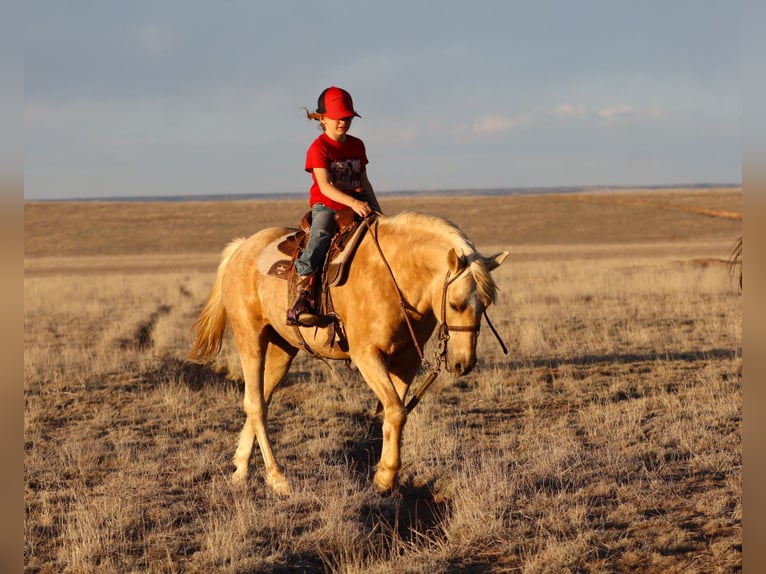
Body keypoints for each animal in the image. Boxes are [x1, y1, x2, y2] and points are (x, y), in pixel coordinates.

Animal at [189, 211, 509, 495]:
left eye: (486, 303)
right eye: (456, 304)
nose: (463, 363)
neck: (395, 277)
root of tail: (242, 248)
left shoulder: (406, 360)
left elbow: (395, 413)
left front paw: (385, 477)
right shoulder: (367, 356)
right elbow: (395, 410)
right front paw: (385, 478)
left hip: (283, 347)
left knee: (261, 400)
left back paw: (241, 469)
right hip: (250, 337)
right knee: (255, 404)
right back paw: (277, 478)